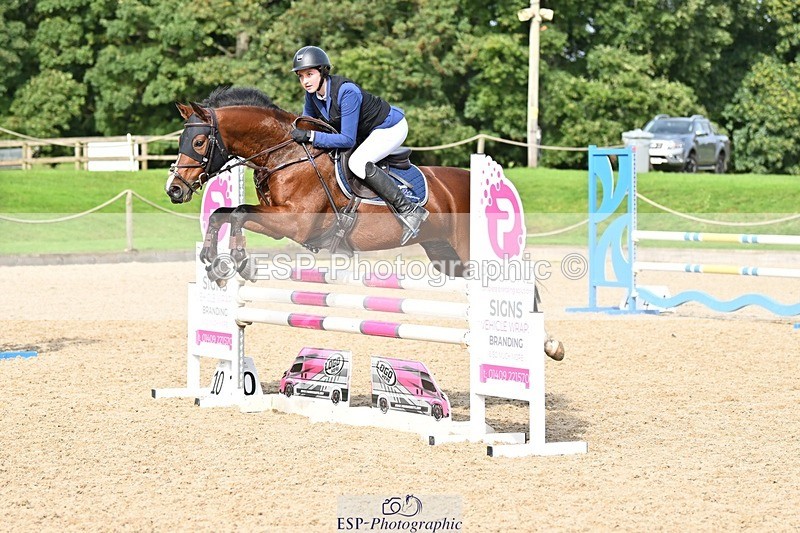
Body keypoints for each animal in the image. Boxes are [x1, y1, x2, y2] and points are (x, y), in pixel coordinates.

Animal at [165, 86, 470, 278]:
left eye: (198, 142)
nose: (174, 189)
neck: (284, 154)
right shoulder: (278, 224)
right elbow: (222, 213)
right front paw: (211, 257)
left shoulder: (296, 222)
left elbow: (238, 212)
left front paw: (242, 262)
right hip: (443, 253)